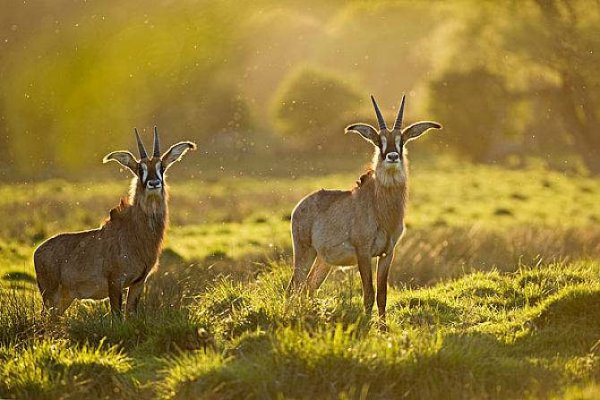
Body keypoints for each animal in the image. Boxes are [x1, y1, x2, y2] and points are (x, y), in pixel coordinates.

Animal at [33, 126, 195, 318]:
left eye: (161, 167)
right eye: (140, 169)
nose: (154, 183)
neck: (135, 232)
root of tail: (37, 251)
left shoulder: (139, 282)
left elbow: (130, 314)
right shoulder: (115, 281)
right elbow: (116, 317)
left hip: (65, 298)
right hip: (50, 295)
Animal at [288, 95, 442, 326]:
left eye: (401, 140)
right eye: (379, 141)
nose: (392, 156)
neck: (382, 210)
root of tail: (299, 206)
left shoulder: (388, 253)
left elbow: (382, 294)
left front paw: (383, 327)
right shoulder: (364, 252)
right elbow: (368, 292)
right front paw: (368, 326)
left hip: (323, 261)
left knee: (308, 287)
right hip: (304, 252)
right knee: (293, 287)